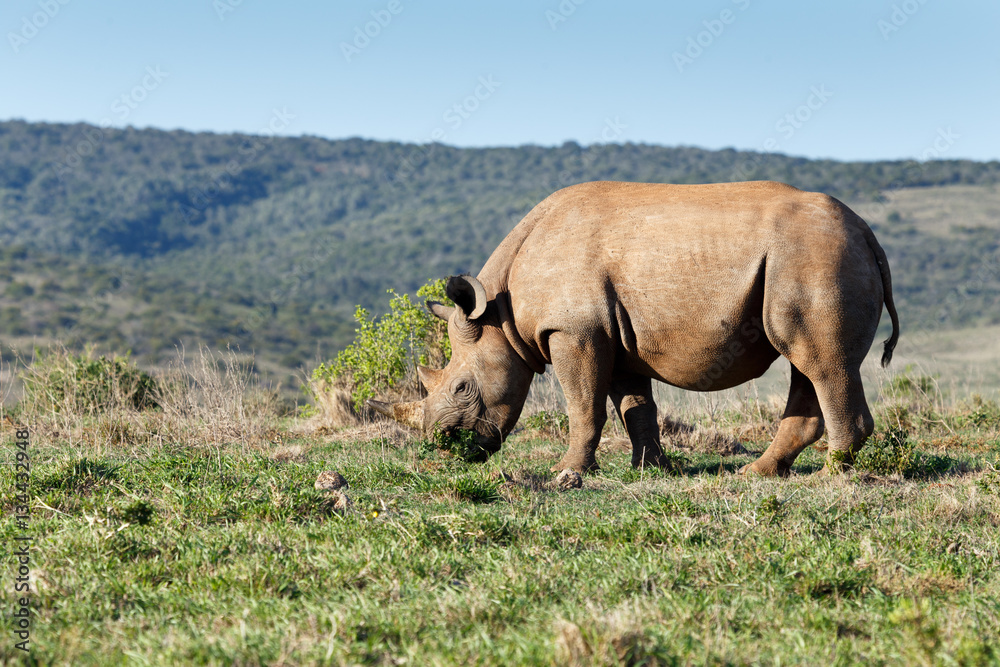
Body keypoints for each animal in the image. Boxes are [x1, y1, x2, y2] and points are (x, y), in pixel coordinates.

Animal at [369, 180, 900, 476]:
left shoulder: (573, 331)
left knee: (820, 360)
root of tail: (866, 231)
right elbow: (634, 406)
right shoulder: (614, 334)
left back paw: (833, 475)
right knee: (805, 364)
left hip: (816, 256)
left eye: (461, 387)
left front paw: (567, 473)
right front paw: (652, 471)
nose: (443, 449)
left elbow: (583, 406)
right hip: (816, 255)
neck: (501, 311)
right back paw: (758, 473)